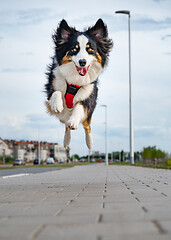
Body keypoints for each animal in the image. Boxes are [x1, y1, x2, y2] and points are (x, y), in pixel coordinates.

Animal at [44, 19, 113, 150]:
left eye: (90, 50)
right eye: (74, 49)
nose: (82, 62)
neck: (74, 80)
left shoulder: (89, 96)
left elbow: (80, 106)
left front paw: (74, 121)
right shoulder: (51, 86)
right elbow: (56, 92)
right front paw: (57, 104)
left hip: (88, 114)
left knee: (87, 125)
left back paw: (89, 142)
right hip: (62, 116)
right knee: (65, 124)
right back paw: (66, 141)